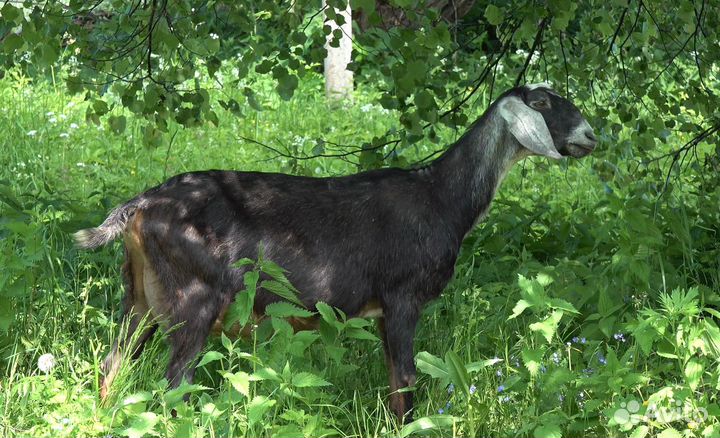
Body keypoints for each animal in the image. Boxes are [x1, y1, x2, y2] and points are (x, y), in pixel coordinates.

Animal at [75, 83, 597, 421]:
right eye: (543, 102)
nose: (590, 137)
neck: (440, 198)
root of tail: (141, 205)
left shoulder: (383, 312)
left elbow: (394, 381)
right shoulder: (403, 297)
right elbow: (407, 382)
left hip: (140, 296)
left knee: (113, 365)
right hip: (193, 298)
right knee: (174, 383)